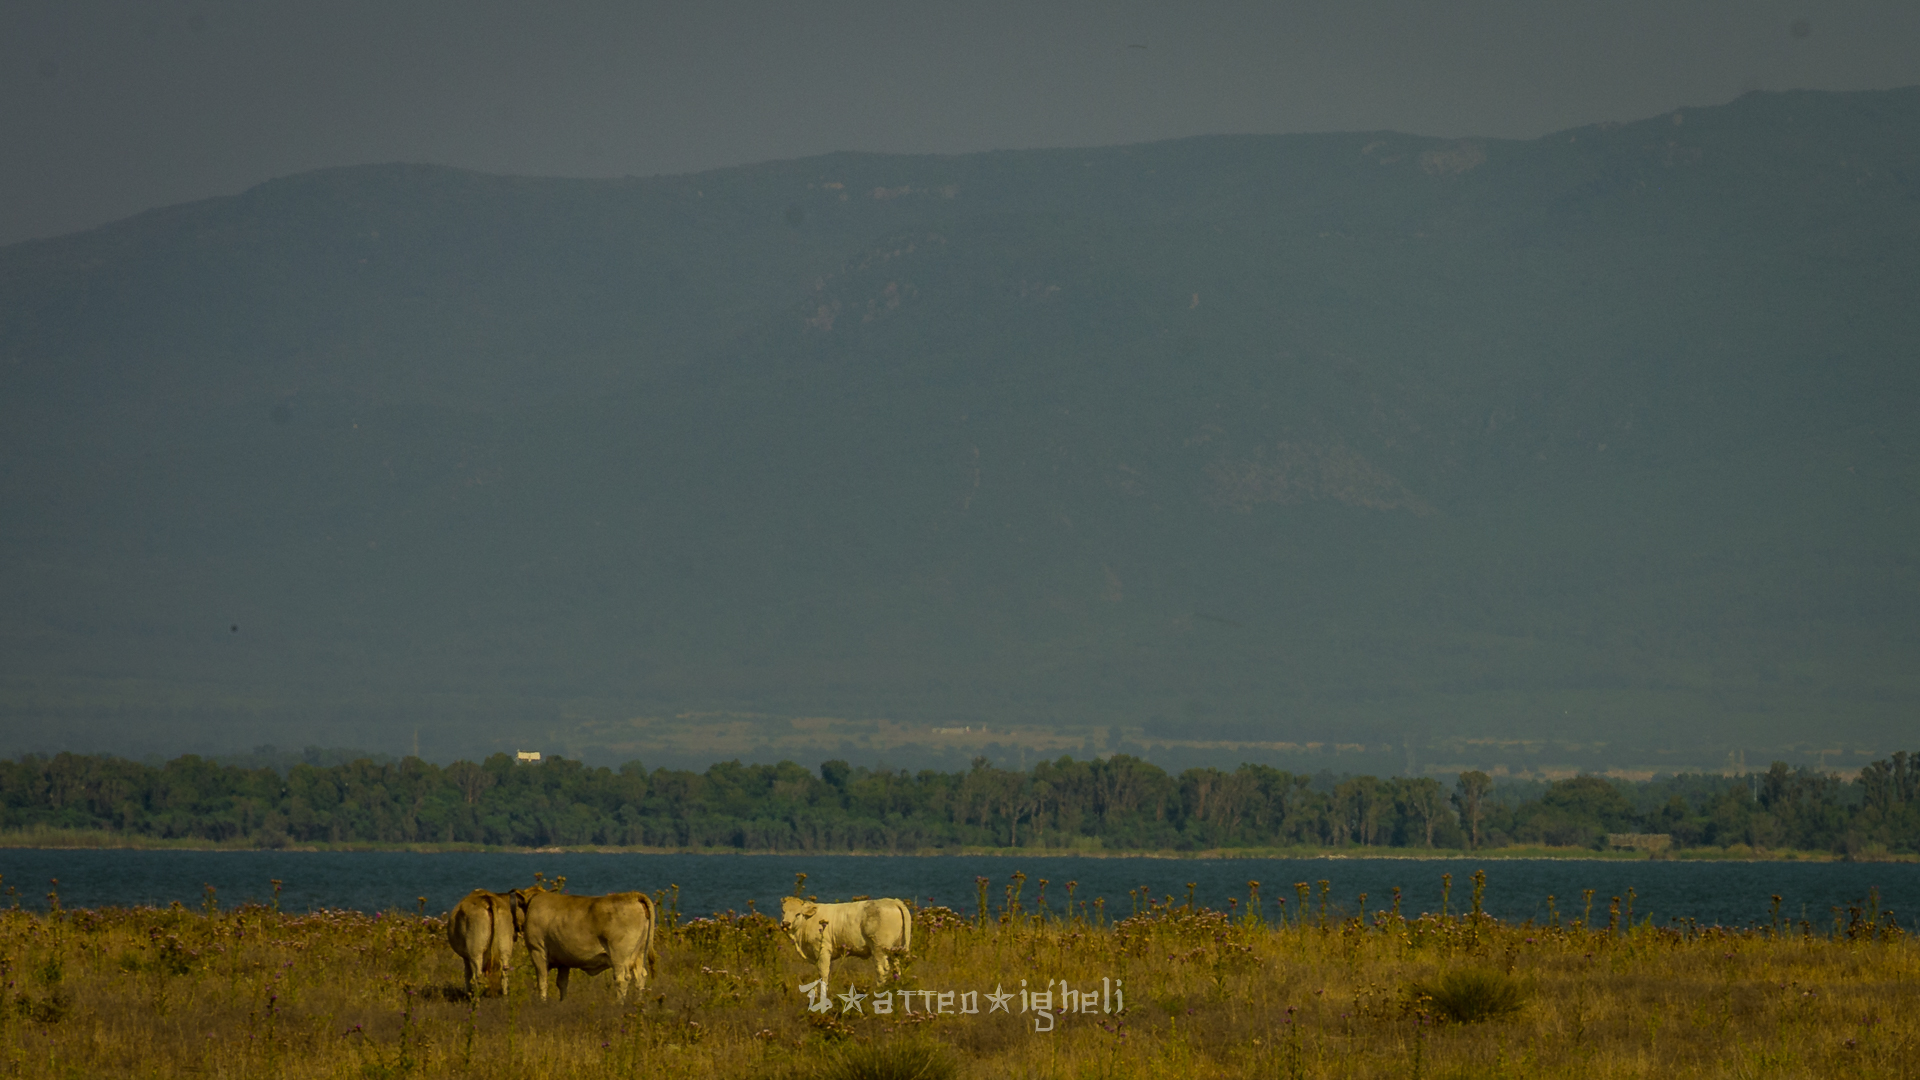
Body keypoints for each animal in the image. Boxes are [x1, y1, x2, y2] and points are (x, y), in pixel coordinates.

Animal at [512, 888, 658, 1002]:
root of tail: (632, 895)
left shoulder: (537, 950)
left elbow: (542, 982)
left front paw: (543, 1003)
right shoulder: (564, 959)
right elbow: (562, 983)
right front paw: (563, 1003)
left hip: (620, 957)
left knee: (622, 979)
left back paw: (619, 1005)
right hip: (639, 953)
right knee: (640, 976)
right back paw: (638, 1004)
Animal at [778, 897, 913, 989]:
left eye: (798, 914)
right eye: (783, 912)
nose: (785, 924)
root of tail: (892, 901)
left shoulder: (823, 949)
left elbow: (823, 973)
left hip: (879, 948)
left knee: (882, 970)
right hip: (896, 949)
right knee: (896, 968)